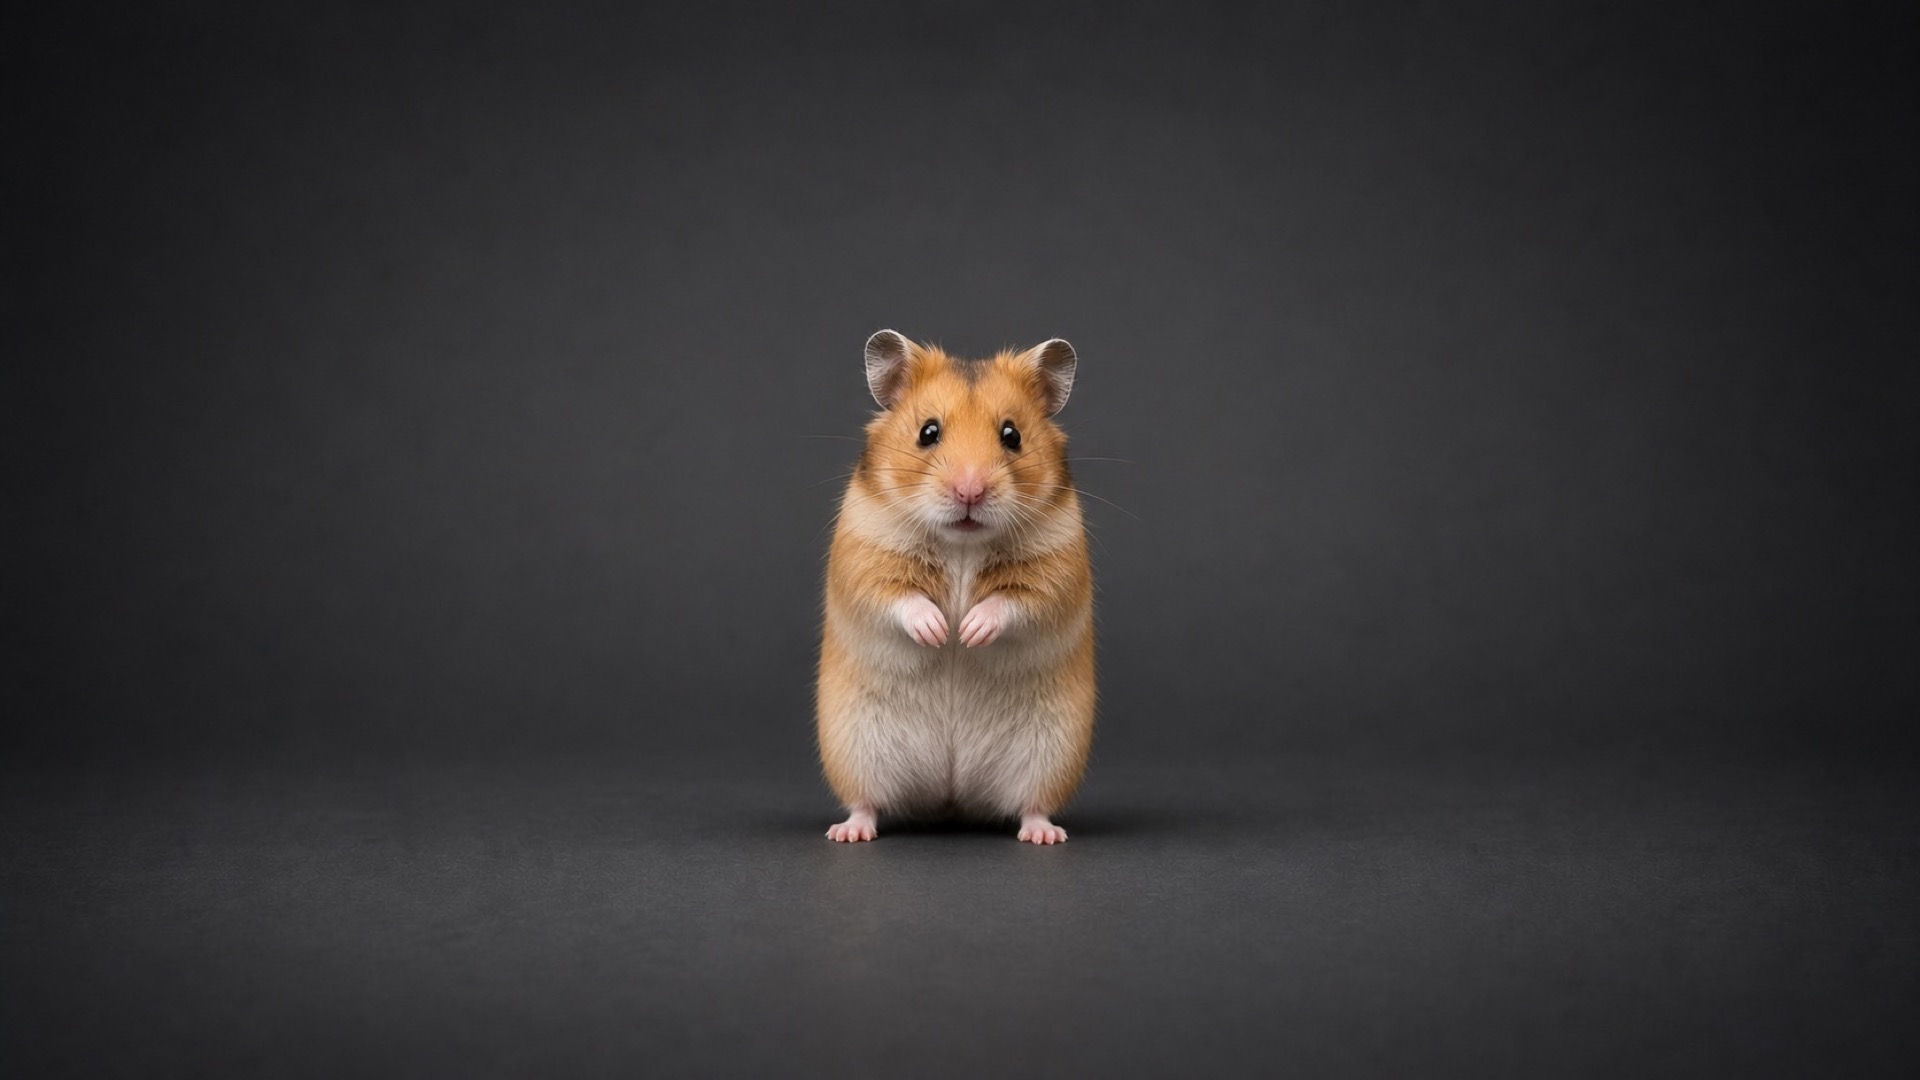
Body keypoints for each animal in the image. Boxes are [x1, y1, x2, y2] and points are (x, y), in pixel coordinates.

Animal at [816, 330, 1095, 844]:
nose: (970, 491)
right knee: (865, 801)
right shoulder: (862, 561)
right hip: (855, 749)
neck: (961, 543)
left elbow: (1015, 602)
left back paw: (1043, 835)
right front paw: (940, 632)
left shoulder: (1058, 571)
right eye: (928, 432)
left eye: (1012, 435)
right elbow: (896, 596)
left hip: (1050, 755)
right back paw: (849, 833)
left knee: (1033, 805)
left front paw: (967, 632)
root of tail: (951, 797)